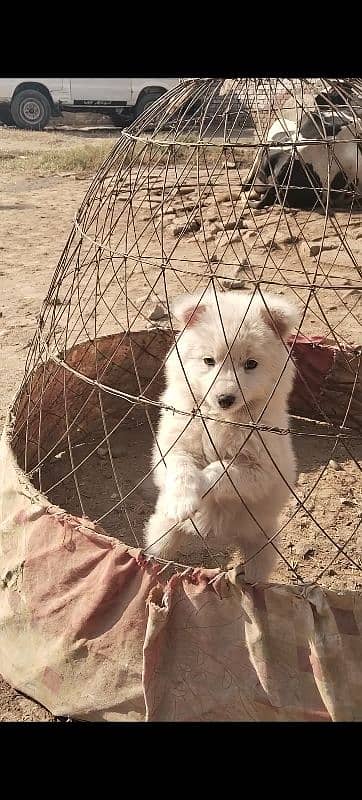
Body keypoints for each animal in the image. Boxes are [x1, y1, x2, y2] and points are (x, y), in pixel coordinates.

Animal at [144, 290, 296, 580]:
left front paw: (204, 482)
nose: (225, 398)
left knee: (257, 572)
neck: (219, 418)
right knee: (159, 548)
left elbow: (220, 468)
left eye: (251, 364)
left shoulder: (262, 469)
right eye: (208, 361)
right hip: (162, 529)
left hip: (262, 541)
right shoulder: (173, 445)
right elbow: (182, 466)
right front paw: (182, 501)